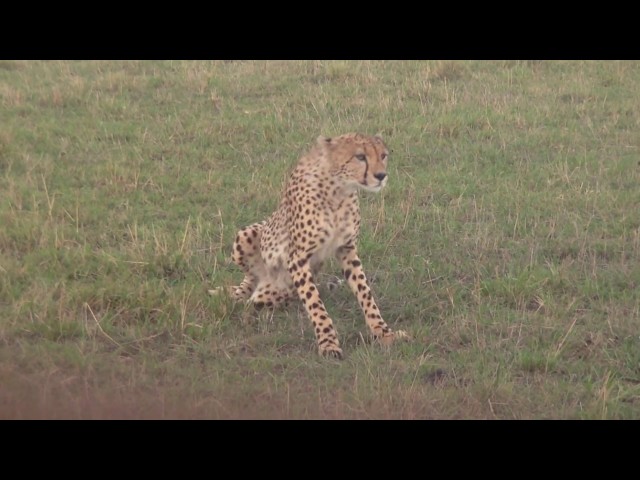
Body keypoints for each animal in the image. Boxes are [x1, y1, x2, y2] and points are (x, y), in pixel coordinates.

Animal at [212, 131, 408, 356]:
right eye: (360, 157)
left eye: (383, 155)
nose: (381, 175)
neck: (338, 189)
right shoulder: (298, 257)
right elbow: (315, 303)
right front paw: (328, 343)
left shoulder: (347, 249)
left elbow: (365, 292)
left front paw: (384, 333)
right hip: (247, 235)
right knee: (249, 283)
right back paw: (239, 295)